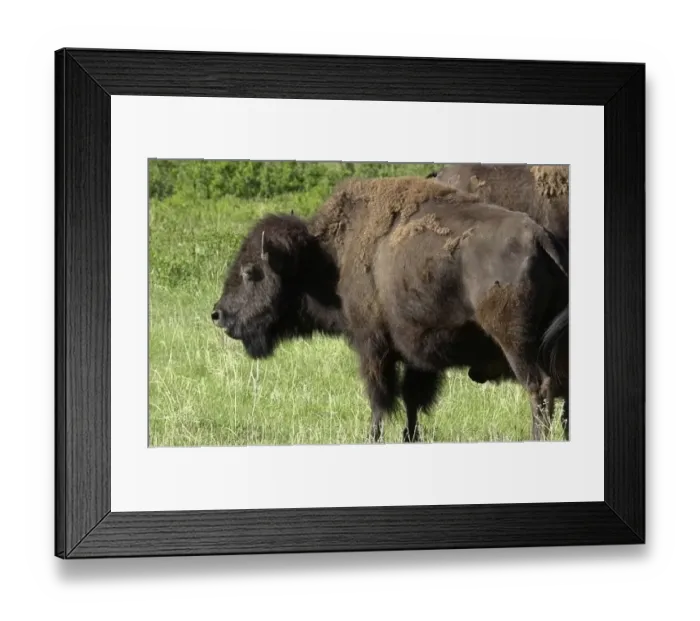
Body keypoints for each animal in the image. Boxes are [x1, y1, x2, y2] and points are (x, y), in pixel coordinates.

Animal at [212, 176, 569, 443]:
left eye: (251, 272)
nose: (218, 314)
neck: (327, 256)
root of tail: (541, 238)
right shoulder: (416, 354)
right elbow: (412, 400)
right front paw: (410, 437)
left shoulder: (372, 346)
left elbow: (379, 399)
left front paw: (372, 437)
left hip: (517, 344)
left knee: (539, 387)